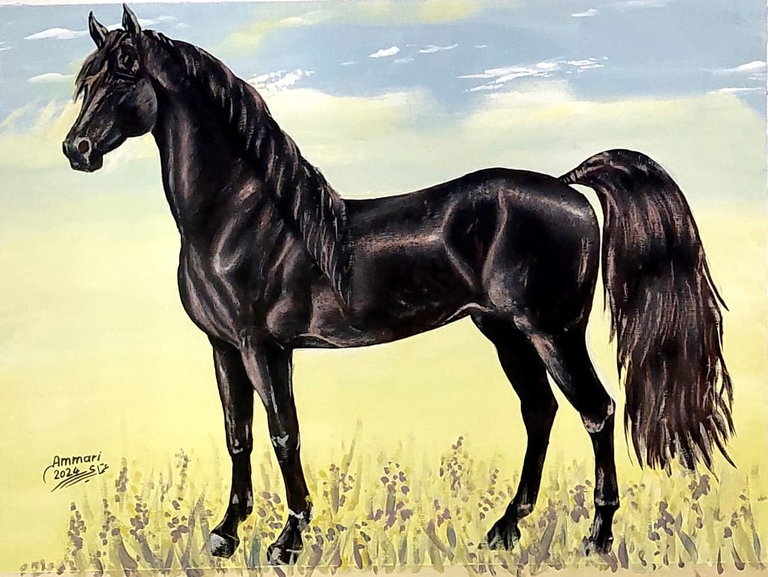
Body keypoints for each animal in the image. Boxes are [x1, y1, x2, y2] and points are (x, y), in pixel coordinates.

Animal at [63, 6, 734, 565]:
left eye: (122, 77)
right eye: (85, 81)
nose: (77, 149)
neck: (241, 217)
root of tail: (566, 186)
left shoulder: (264, 348)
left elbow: (283, 434)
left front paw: (289, 539)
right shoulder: (224, 348)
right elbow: (239, 437)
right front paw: (226, 534)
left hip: (552, 332)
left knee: (596, 411)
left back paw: (596, 538)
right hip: (503, 330)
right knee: (539, 411)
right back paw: (504, 530)